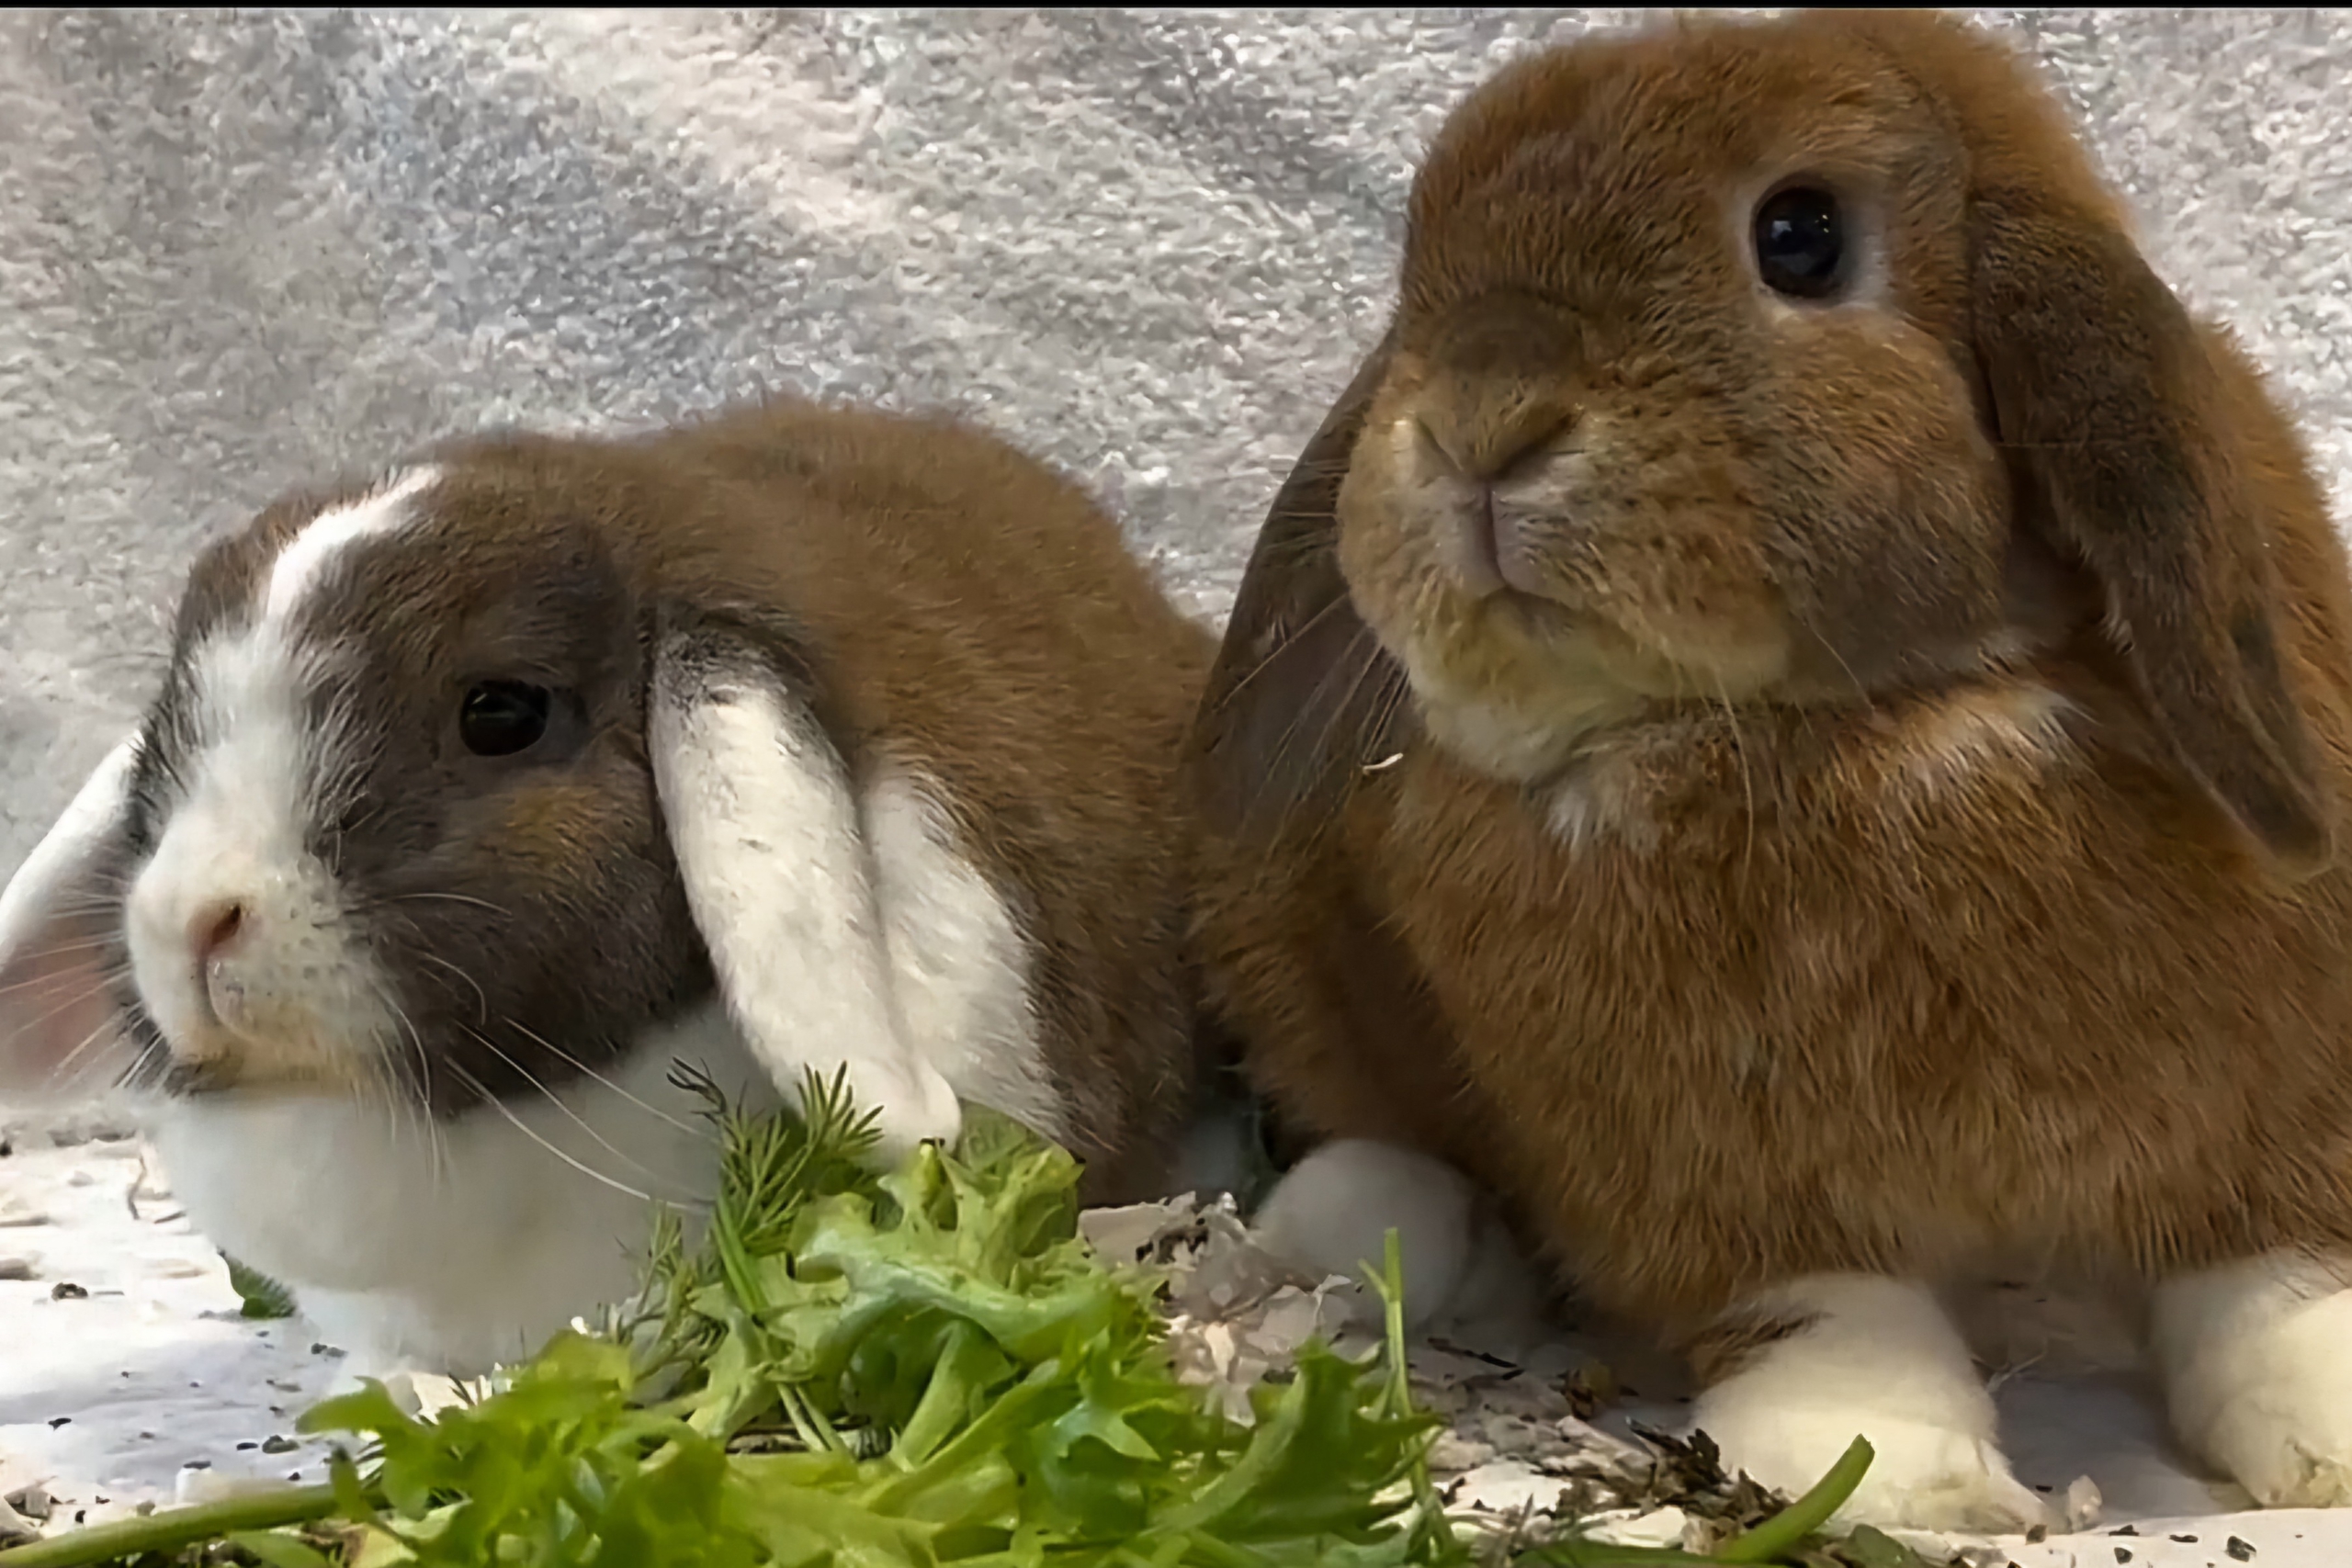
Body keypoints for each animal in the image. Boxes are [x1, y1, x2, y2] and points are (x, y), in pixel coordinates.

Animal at [1184, 6, 2352, 1534]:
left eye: (1800, 236)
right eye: (1420, 267)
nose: (1480, 420)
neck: (1838, 732)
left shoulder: (2263, 1086)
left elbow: (2267, 1263)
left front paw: (2329, 1428)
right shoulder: (1710, 1176)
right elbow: (1831, 1312)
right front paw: (1903, 1474)